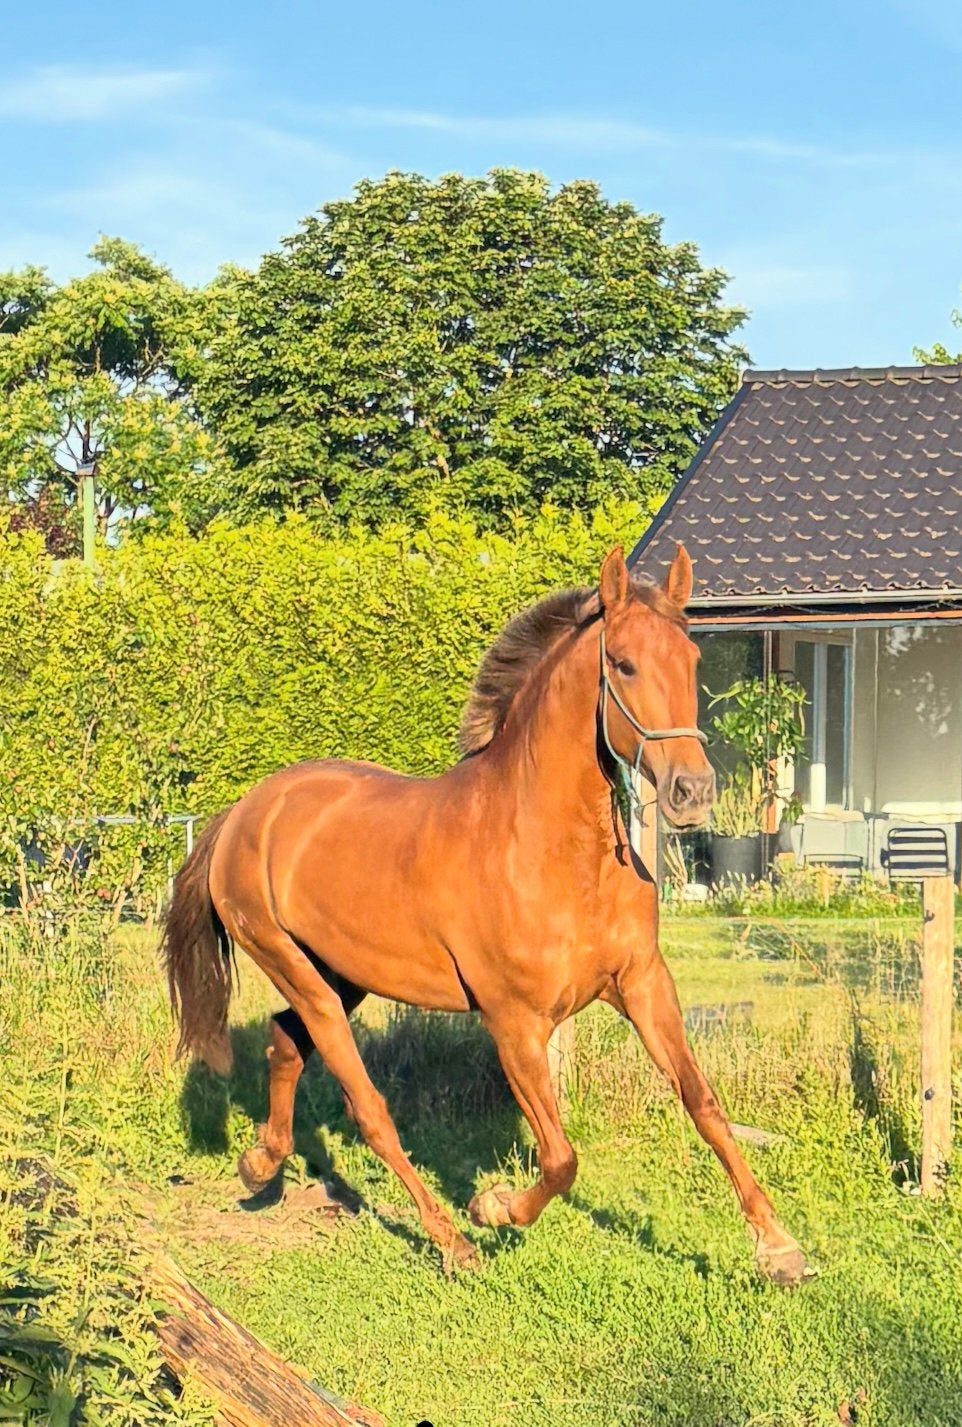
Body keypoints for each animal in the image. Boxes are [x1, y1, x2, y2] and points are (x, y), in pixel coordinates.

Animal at [163, 544, 812, 1286]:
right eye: (622, 663)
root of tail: (245, 811)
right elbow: (560, 1159)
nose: (692, 791)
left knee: (283, 1041)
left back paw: (260, 1166)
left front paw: (779, 1247)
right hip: (298, 970)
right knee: (368, 1108)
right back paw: (451, 1242)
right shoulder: (515, 1021)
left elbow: (704, 1105)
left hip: (340, 975)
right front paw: (493, 1205)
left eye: (693, 659)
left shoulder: (644, 984)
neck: (548, 848)